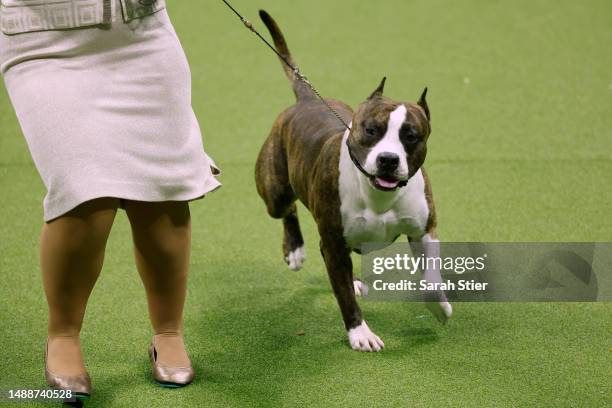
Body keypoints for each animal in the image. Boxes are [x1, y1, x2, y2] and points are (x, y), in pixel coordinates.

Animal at [253, 11, 450, 352]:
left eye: (411, 136)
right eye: (371, 130)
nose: (388, 159)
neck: (377, 195)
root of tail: (306, 98)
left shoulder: (424, 230)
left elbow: (431, 277)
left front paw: (439, 306)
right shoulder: (333, 243)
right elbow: (344, 298)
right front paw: (360, 333)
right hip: (275, 191)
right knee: (287, 208)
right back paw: (295, 249)